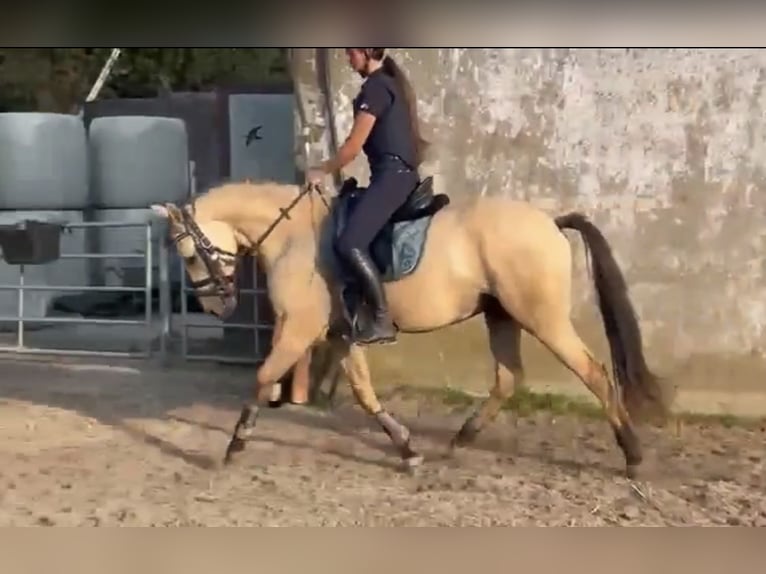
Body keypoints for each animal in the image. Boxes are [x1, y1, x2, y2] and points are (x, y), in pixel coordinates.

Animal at [152, 177, 672, 482]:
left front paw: (235, 446)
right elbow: (364, 393)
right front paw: (406, 449)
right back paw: (459, 442)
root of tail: (550, 220)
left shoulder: (298, 331)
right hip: (501, 315)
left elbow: (261, 377)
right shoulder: (341, 336)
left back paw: (633, 456)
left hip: (541, 317)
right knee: (508, 379)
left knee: (595, 374)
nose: (218, 305)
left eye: (189, 253)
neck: (294, 233)